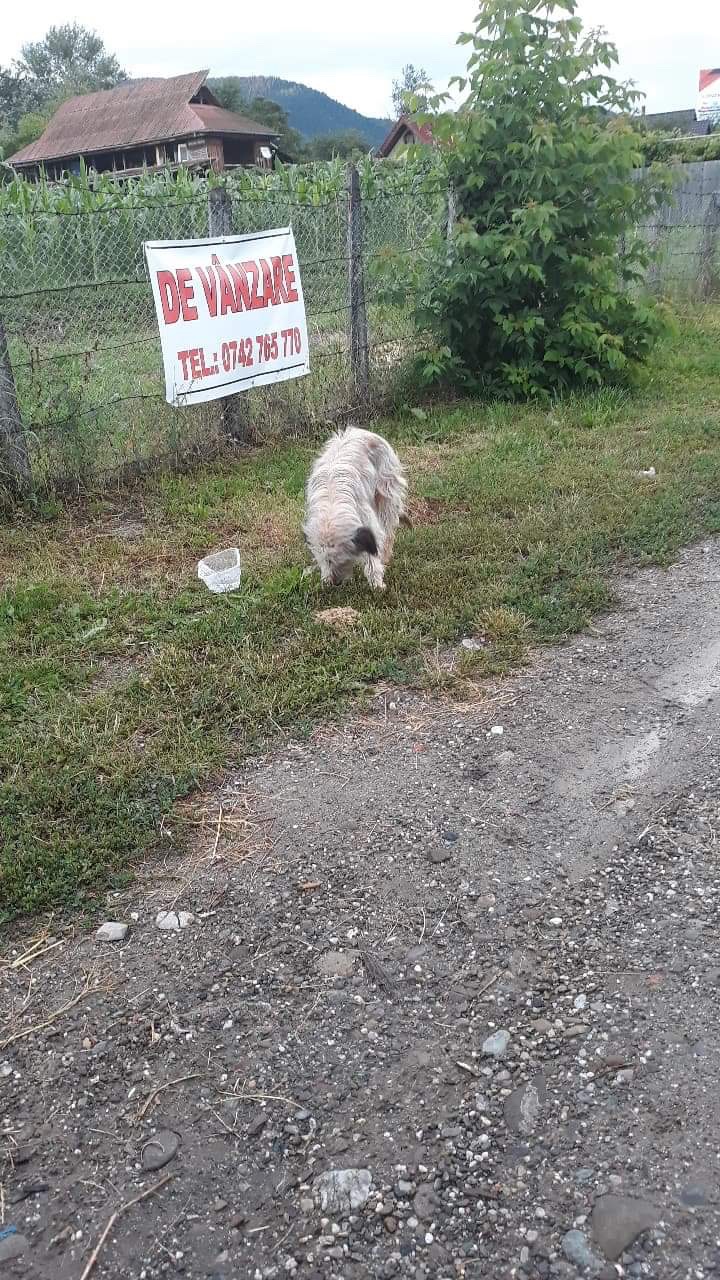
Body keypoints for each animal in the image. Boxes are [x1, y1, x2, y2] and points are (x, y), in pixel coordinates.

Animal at [299, 427, 407, 591]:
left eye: (343, 560)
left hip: (386, 493)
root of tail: (361, 431)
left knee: (388, 528)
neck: (332, 503)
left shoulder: (366, 520)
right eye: (324, 561)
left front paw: (376, 583)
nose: (335, 583)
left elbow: (372, 553)